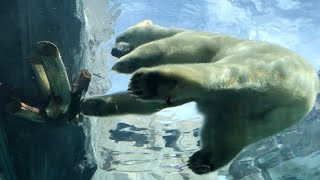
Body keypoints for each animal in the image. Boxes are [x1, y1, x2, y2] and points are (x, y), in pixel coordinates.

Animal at [80, 19, 320, 174]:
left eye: (122, 36)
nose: (114, 50)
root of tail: (304, 92)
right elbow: (149, 104)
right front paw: (91, 104)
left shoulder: (196, 38)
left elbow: (171, 47)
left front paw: (127, 63)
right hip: (257, 117)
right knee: (228, 132)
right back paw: (204, 160)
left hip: (258, 64)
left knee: (217, 73)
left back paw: (152, 81)